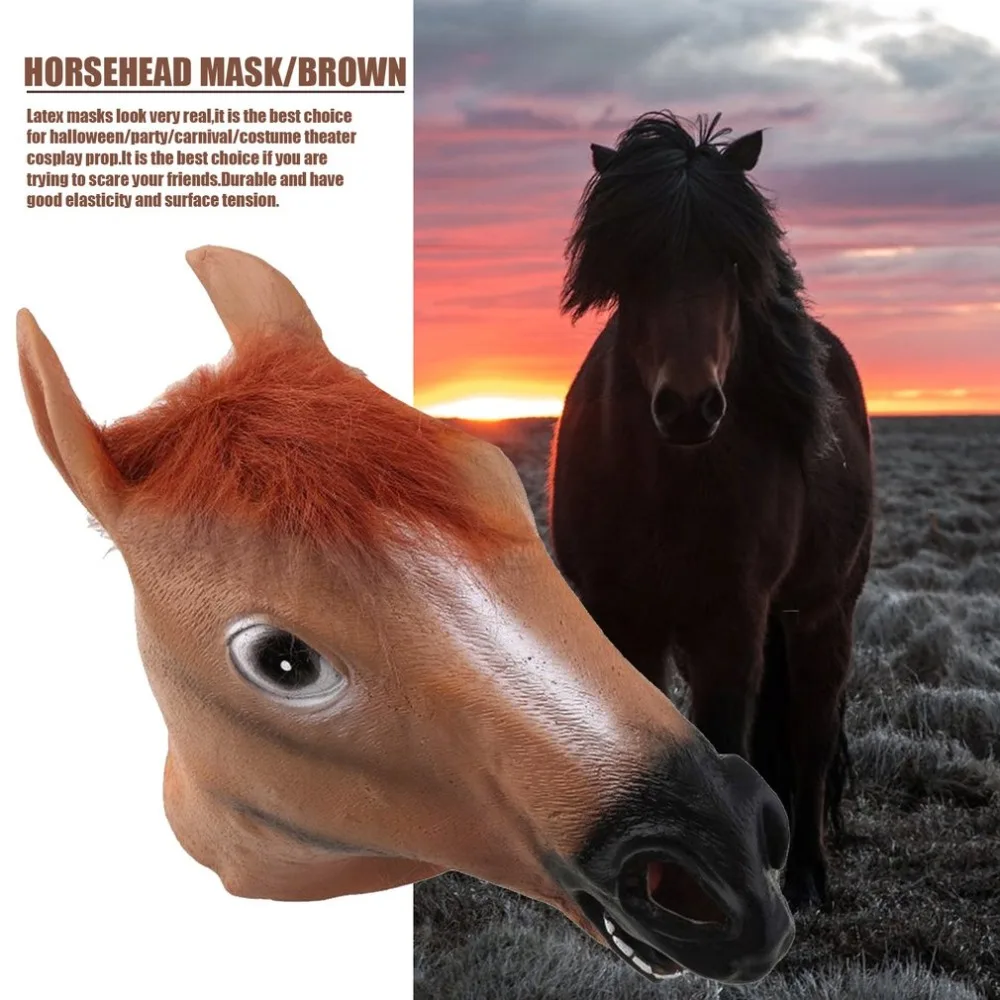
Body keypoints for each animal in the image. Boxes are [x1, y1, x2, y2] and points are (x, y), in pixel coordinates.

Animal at [549, 112, 875, 912]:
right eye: (635, 267)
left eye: (732, 264)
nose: (690, 406)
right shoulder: (621, 611)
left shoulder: (733, 620)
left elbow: (728, 737)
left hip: (823, 616)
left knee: (811, 736)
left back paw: (808, 876)